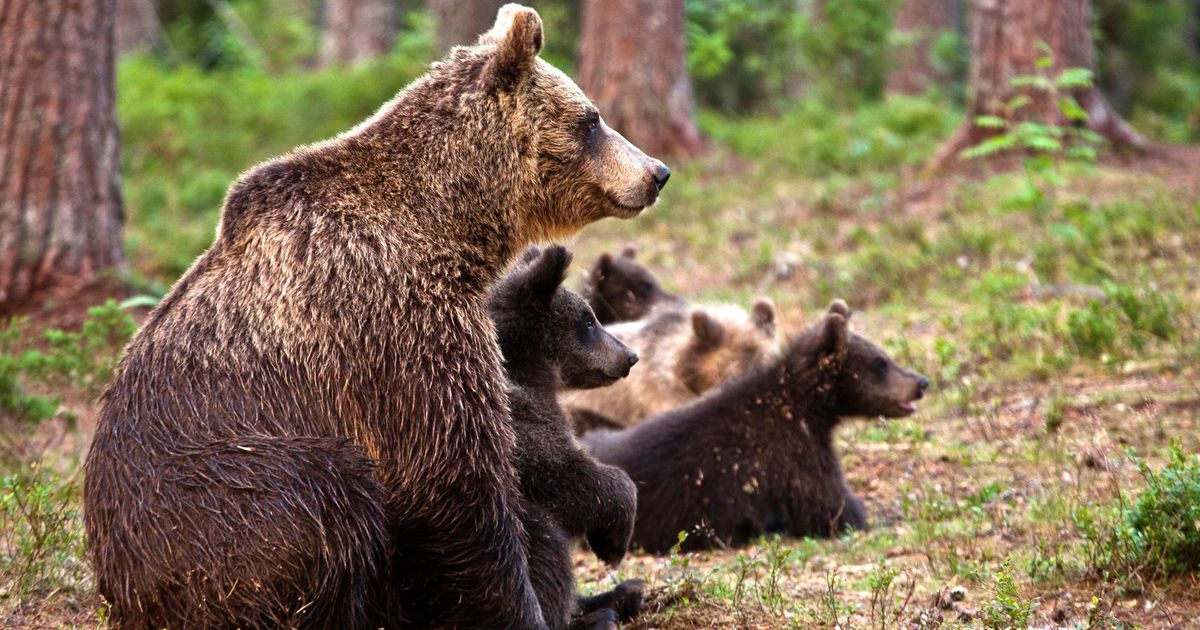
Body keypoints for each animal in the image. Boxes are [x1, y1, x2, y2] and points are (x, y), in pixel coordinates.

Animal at [82, 6, 667, 628]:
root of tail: (116, 588)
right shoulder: (392, 329)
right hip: (215, 507)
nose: (658, 171)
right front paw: (528, 602)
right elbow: (456, 484)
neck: (445, 231)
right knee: (325, 499)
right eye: (593, 119)